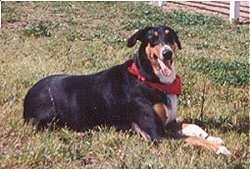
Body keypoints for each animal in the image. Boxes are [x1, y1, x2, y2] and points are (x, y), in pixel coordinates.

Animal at [23, 24, 230, 155]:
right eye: (152, 39)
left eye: (170, 37)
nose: (167, 53)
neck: (149, 79)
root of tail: (28, 95)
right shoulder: (157, 135)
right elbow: (191, 139)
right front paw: (219, 148)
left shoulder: (167, 123)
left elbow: (189, 126)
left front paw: (211, 137)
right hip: (48, 120)